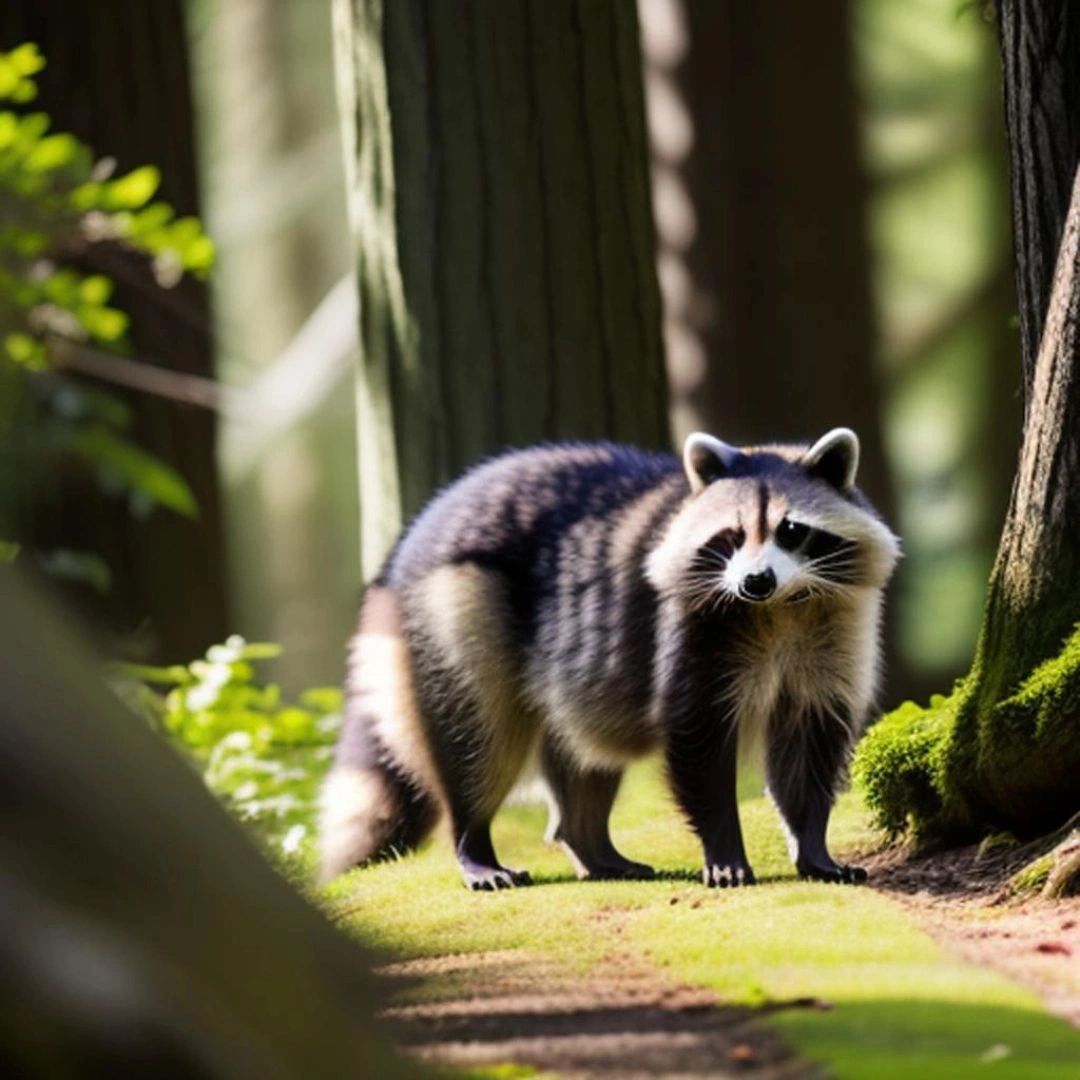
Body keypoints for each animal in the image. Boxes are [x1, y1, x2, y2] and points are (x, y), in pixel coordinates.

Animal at [320, 429, 900, 889]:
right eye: (732, 536)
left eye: (791, 530)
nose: (755, 580)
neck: (780, 607)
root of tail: (408, 545)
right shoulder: (688, 631)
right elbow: (698, 742)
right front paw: (724, 848)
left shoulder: (835, 630)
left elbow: (808, 745)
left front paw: (813, 845)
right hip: (455, 610)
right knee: (477, 742)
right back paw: (474, 840)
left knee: (583, 755)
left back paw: (591, 844)